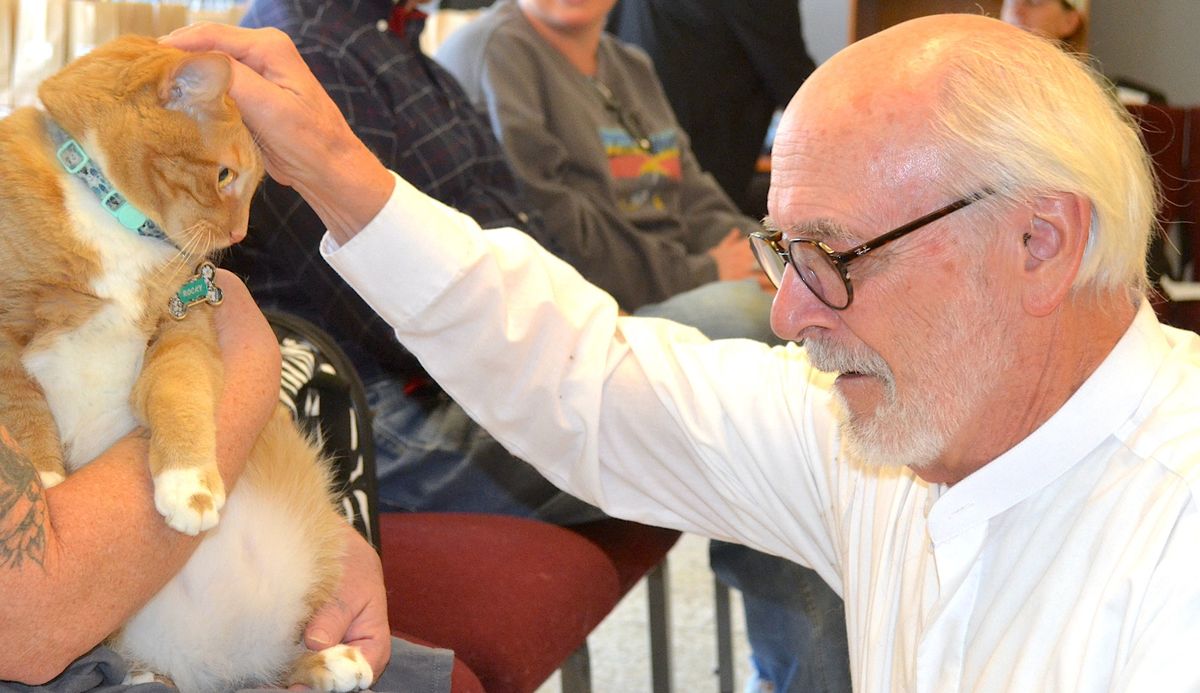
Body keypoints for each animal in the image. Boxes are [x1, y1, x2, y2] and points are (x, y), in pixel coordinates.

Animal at [0, 35, 369, 685]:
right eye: (225, 174)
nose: (240, 234)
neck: (106, 211)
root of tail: (223, 662)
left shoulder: (185, 329)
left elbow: (178, 391)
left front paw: (190, 486)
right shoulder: (4, 337)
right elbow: (24, 411)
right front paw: (44, 485)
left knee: (288, 661)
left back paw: (332, 659)